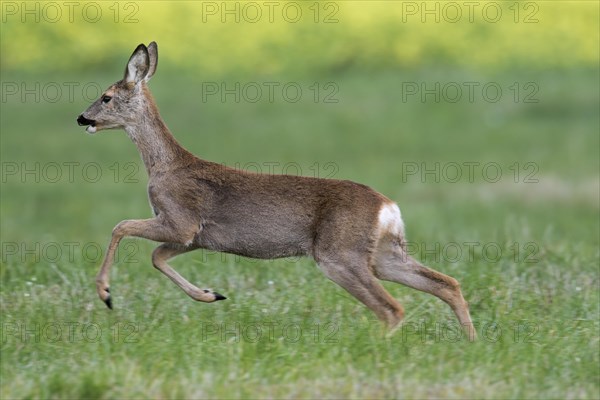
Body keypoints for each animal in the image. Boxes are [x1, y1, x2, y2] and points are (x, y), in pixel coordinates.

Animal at [77, 42, 476, 340]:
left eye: (106, 97)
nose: (82, 118)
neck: (164, 166)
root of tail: (388, 207)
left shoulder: (181, 221)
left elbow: (121, 227)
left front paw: (105, 293)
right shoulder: (195, 237)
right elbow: (157, 257)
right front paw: (211, 294)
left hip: (339, 254)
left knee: (393, 308)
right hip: (382, 253)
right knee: (447, 283)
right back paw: (470, 341)